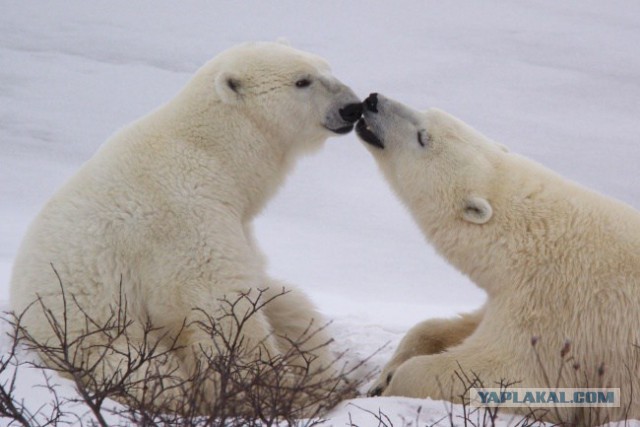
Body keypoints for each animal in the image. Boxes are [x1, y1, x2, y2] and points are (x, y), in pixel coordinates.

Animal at [356, 92, 640, 422]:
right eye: (427, 112)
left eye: (422, 137)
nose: (373, 100)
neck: (532, 238)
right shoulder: (506, 294)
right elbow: (445, 327)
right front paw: (384, 375)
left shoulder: (559, 312)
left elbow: (510, 374)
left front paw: (390, 384)